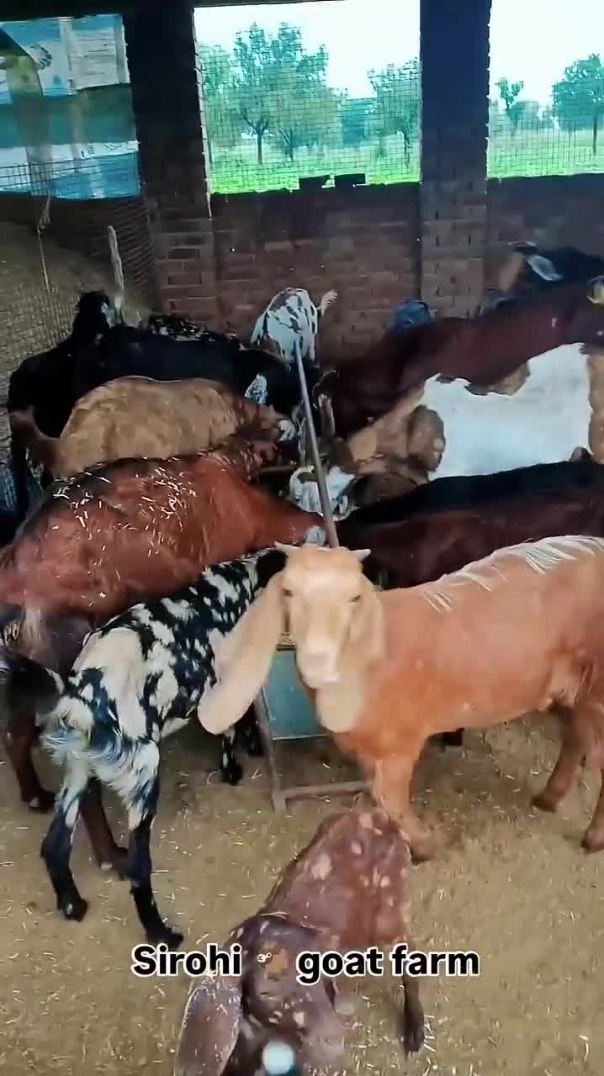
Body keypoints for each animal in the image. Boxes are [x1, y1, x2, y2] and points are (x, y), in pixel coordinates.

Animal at [0, 549, 286, 947]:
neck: (234, 587)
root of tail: (78, 689)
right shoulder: (224, 688)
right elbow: (230, 729)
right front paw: (233, 768)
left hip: (77, 774)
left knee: (55, 847)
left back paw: (73, 906)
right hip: (144, 774)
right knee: (138, 867)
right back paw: (160, 933)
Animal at [174, 807, 424, 1074]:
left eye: (320, 971)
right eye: (265, 991)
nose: (334, 1037)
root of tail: (378, 815)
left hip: (391, 910)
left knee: (408, 946)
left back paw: (415, 1030)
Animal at [196, 537, 604, 863]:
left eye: (354, 597)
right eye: (288, 592)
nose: (317, 661)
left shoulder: (397, 746)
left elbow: (391, 803)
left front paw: (422, 848)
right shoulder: (367, 751)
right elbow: (379, 802)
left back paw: (593, 838)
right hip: (572, 690)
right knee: (575, 738)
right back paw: (548, 799)